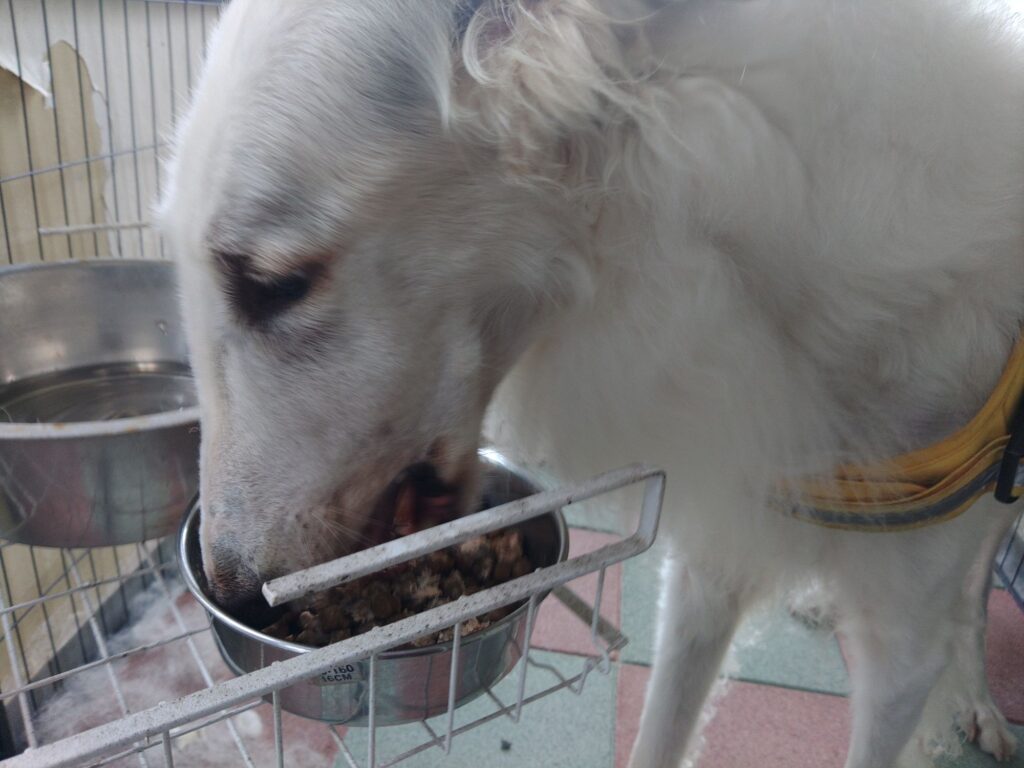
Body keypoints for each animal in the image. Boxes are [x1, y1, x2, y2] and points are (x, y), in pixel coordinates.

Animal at [160, 1, 1024, 765]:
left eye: (272, 283)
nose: (230, 586)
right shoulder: (712, 561)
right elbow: (661, 735)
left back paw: (983, 705)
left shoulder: (901, 646)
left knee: (974, 598)